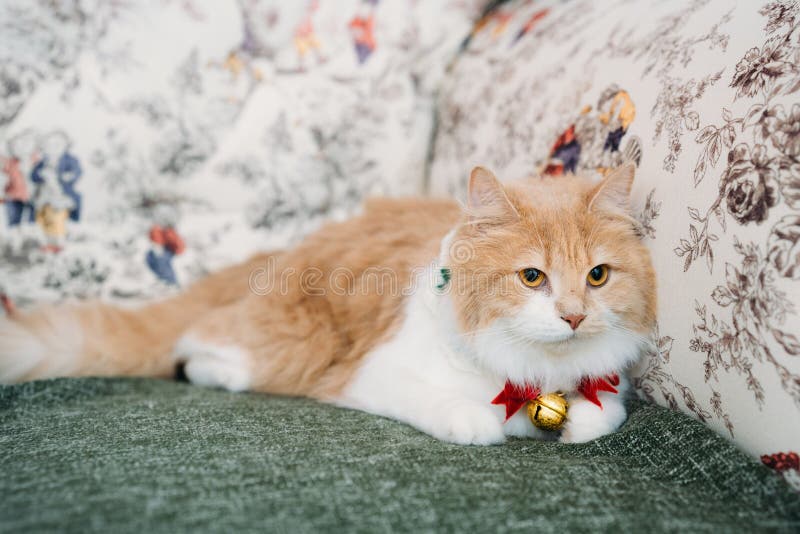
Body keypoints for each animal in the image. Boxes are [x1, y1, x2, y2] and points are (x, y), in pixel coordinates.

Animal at [0, 165, 656, 446]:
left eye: (597, 276)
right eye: (531, 277)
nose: (573, 316)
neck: (535, 381)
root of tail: (284, 252)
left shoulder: (612, 381)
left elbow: (605, 414)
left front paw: (575, 422)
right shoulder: (371, 373)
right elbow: (460, 413)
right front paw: (486, 423)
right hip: (288, 345)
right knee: (197, 346)